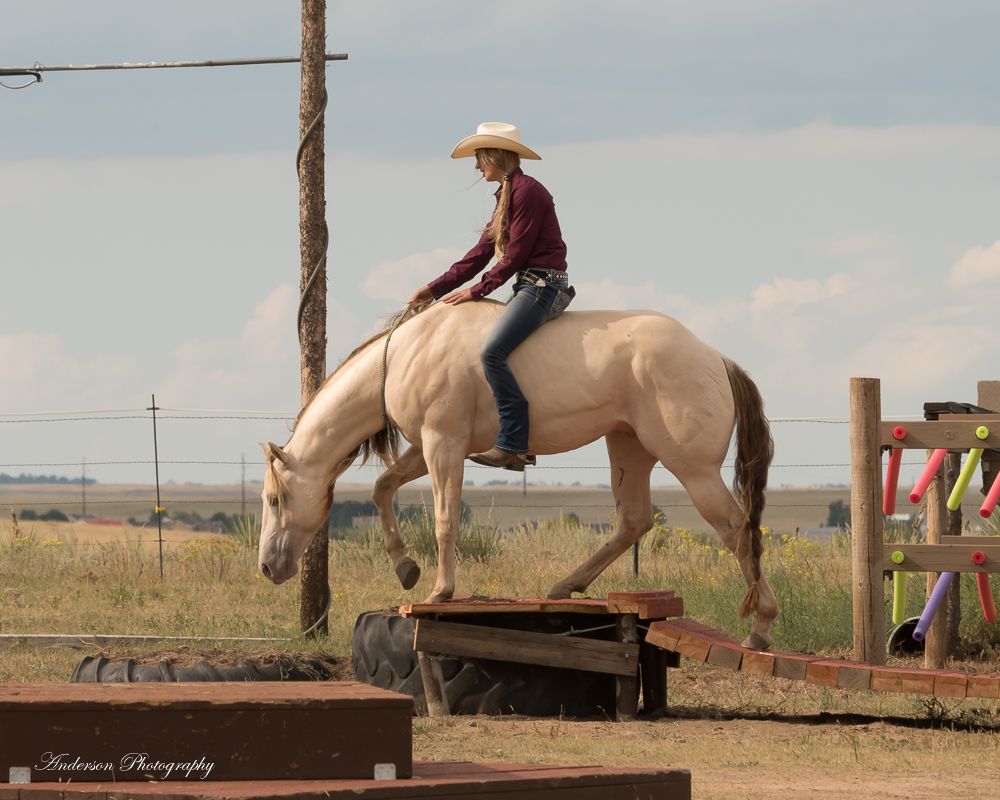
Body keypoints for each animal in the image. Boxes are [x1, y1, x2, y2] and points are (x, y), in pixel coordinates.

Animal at [258, 300, 780, 648]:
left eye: (274, 499)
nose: (267, 567)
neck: (407, 353)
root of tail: (715, 358)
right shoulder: (428, 446)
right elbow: (383, 488)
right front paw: (406, 569)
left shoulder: (442, 444)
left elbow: (444, 519)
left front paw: (440, 590)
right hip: (627, 447)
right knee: (634, 521)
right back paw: (564, 587)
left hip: (693, 468)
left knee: (737, 529)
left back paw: (759, 628)